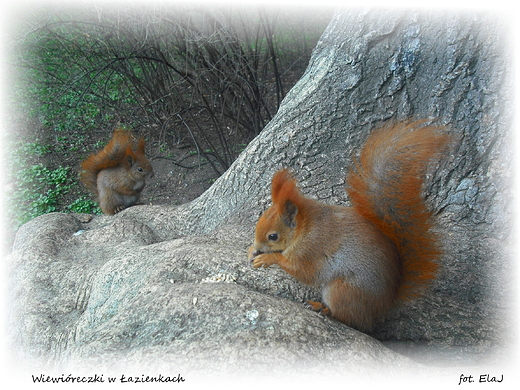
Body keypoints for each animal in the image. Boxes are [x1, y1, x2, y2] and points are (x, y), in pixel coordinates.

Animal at [248, 120, 450, 330]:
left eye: (273, 236)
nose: (257, 247)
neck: (304, 228)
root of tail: (385, 303)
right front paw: (251, 251)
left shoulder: (310, 251)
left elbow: (301, 271)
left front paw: (267, 258)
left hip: (342, 290)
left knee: (349, 318)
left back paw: (322, 308)